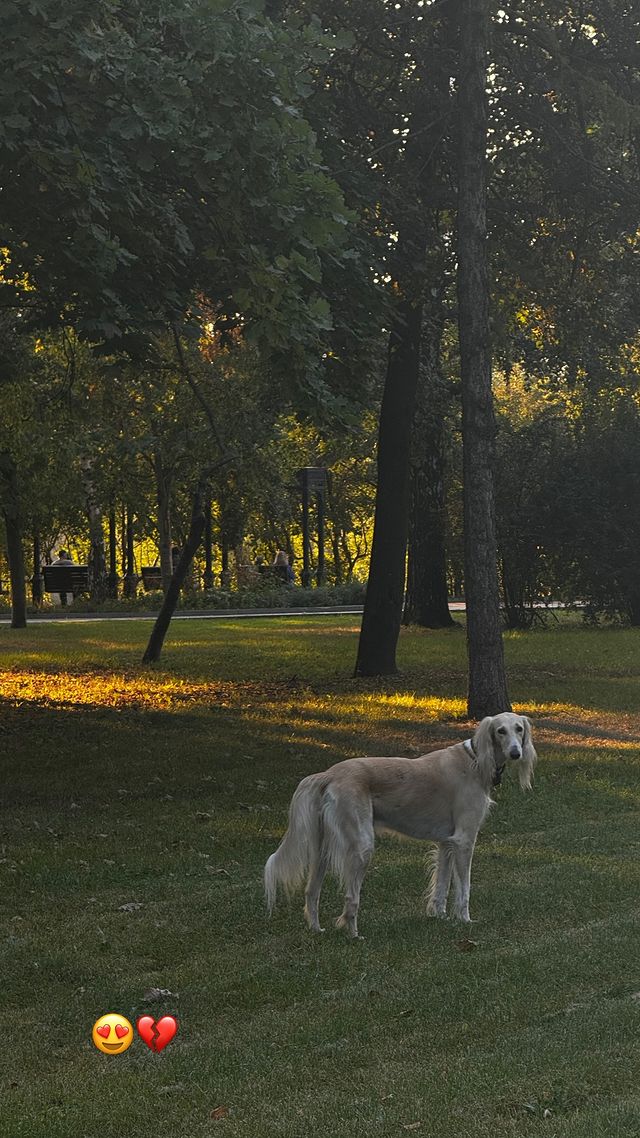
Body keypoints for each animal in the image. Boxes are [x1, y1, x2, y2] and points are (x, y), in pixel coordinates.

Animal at [263, 714, 532, 937]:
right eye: (500, 731)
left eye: (519, 729)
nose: (516, 753)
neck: (475, 759)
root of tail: (328, 774)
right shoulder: (464, 839)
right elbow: (464, 888)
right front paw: (464, 920)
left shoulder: (447, 842)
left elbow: (441, 885)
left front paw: (440, 917)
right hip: (362, 845)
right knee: (351, 897)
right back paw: (354, 934)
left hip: (322, 848)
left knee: (311, 891)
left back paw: (316, 929)